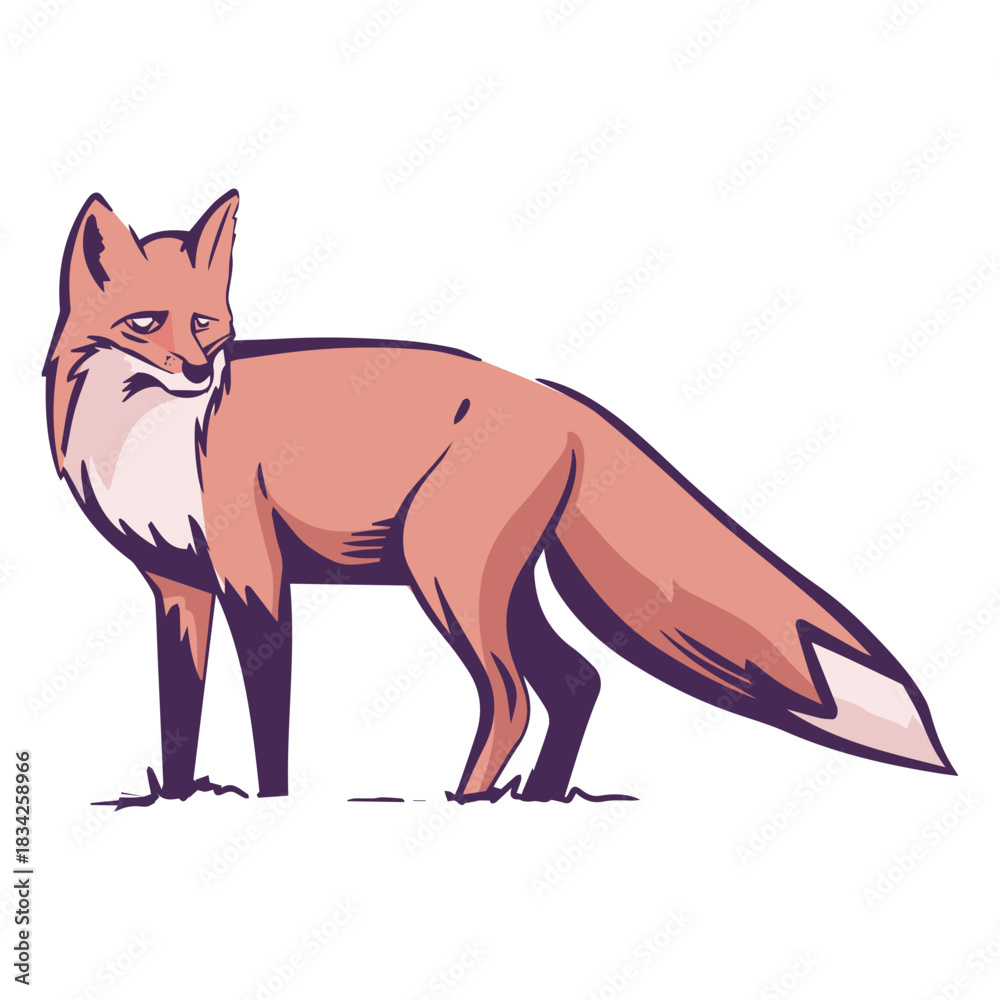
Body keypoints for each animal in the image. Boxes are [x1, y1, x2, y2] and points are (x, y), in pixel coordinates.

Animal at [45, 189, 954, 807]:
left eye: (205, 325)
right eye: (145, 322)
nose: (200, 371)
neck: (149, 440)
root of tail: (555, 395)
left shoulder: (254, 577)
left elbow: (272, 722)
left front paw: (273, 806)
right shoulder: (178, 589)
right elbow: (178, 712)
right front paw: (177, 801)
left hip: (445, 577)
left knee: (513, 696)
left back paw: (465, 801)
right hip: (492, 586)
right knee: (577, 680)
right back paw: (538, 799)